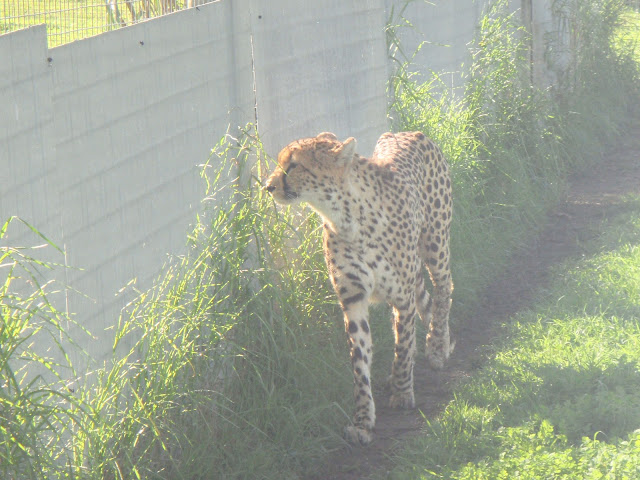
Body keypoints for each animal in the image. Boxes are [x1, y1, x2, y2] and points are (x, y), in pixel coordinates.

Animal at [264, 132, 456, 446]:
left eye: (294, 165)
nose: (268, 187)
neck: (346, 217)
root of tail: (403, 133)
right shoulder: (353, 300)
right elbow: (360, 362)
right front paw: (363, 421)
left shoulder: (401, 297)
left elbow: (403, 345)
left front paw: (402, 392)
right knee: (425, 301)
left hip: (435, 245)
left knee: (443, 290)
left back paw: (438, 345)